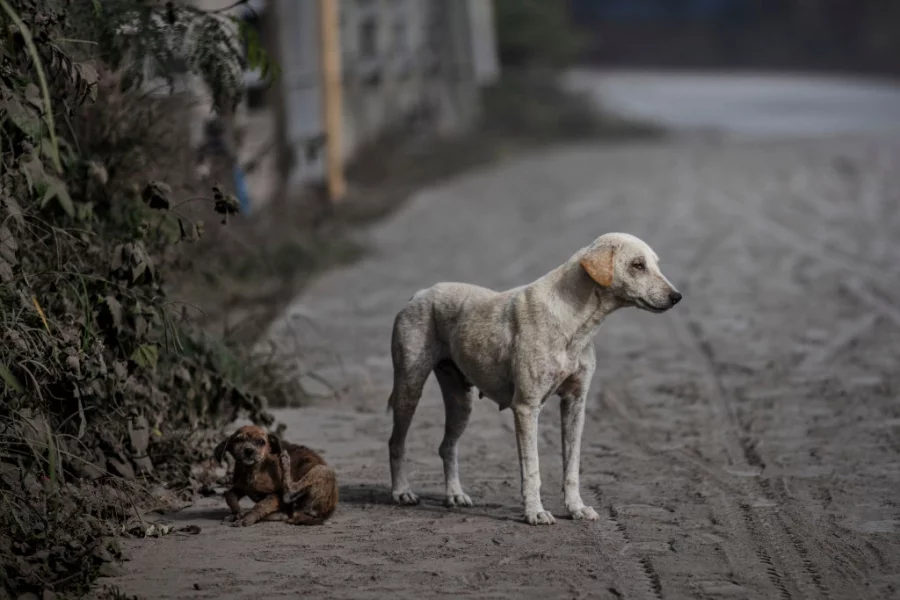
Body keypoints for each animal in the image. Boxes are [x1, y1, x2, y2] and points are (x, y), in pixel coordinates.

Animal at [386, 232, 684, 524]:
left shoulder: (575, 404)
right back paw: (402, 493)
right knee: (396, 442)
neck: (575, 320)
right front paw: (535, 513)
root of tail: (420, 293)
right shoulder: (526, 408)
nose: (677, 297)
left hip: (461, 401)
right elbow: (532, 469)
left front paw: (576, 508)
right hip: (409, 387)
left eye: (655, 263)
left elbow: (572, 465)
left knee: (447, 447)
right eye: (637, 265)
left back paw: (455, 496)